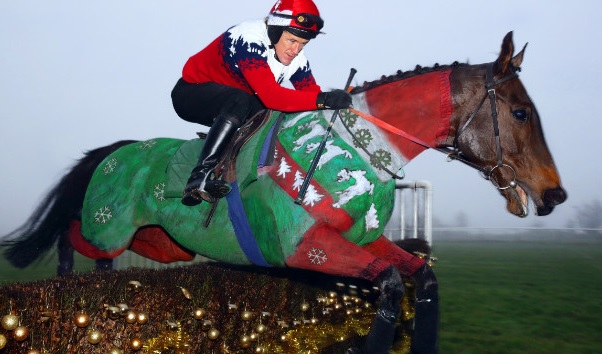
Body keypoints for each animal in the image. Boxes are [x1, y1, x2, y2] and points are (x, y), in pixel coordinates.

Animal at [2, 31, 564, 352]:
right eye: (520, 112)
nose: (553, 195)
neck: (356, 148)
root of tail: (117, 149)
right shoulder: (304, 247)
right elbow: (388, 285)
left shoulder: (362, 243)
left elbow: (419, 277)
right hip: (112, 227)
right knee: (71, 234)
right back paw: (70, 284)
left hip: (161, 243)